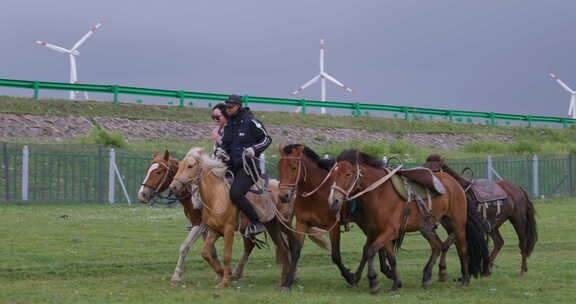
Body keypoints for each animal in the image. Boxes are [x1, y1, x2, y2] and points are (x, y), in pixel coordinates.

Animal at [166, 148, 292, 290]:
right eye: (179, 166)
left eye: (190, 166)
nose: (173, 187)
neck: (216, 197)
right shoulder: (213, 230)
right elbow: (205, 252)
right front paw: (221, 273)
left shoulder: (228, 230)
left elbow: (226, 256)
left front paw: (224, 281)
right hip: (271, 227)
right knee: (282, 249)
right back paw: (283, 281)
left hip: (282, 225)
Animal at [328, 150, 486, 292]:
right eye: (333, 174)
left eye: (348, 174)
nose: (333, 201)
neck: (380, 193)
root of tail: (456, 184)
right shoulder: (382, 233)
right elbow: (391, 258)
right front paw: (395, 284)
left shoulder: (389, 232)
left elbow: (370, 251)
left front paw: (373, 282)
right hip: (427, 227)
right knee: (437, 246)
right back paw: (427, 277)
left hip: (457, 225)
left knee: (462, 249)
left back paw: (465, 279)